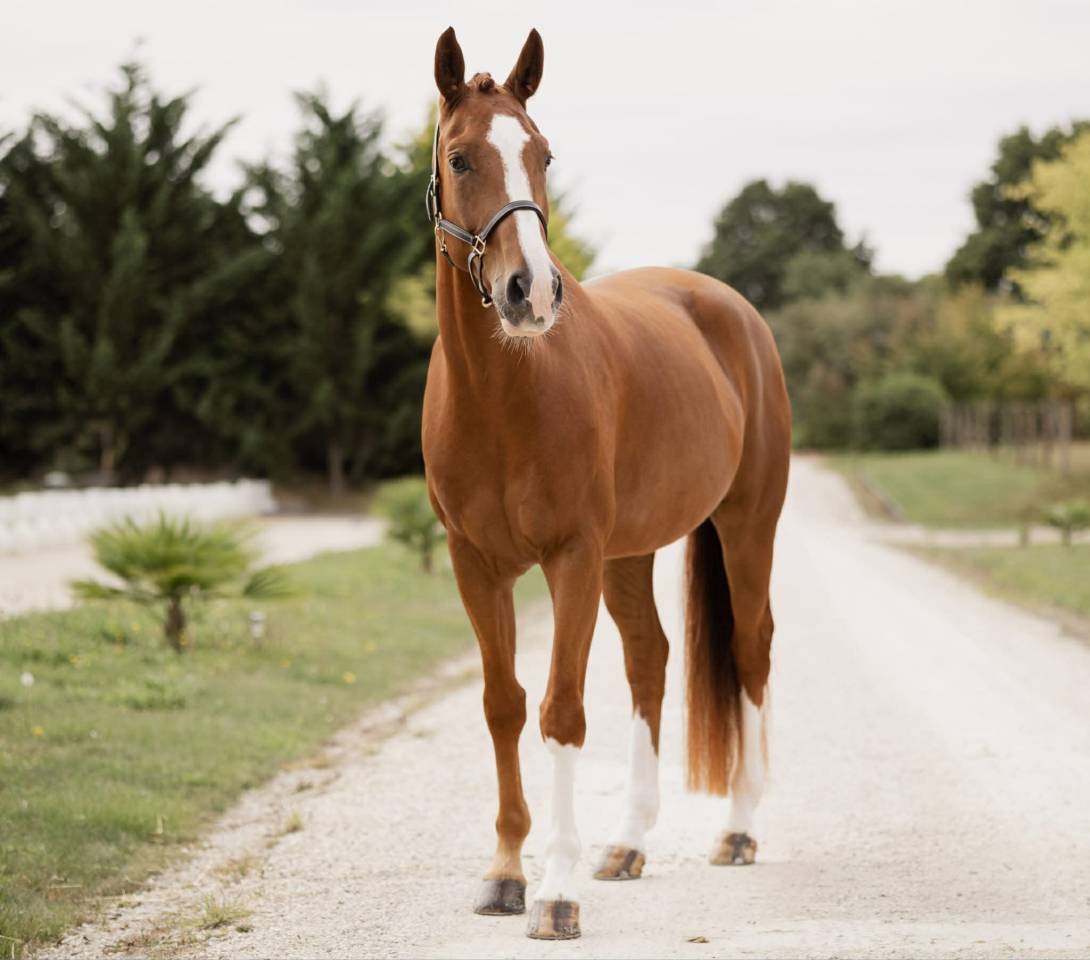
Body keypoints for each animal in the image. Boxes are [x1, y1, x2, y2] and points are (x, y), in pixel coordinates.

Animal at [421, 26, 791, 941]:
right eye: (461, 157)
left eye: (543, 153)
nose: (531, 291)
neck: (504, 393)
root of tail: (727, 306)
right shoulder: (474, 564)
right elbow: (504, 704)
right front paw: (504, 874)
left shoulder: (572, 558)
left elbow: (561, 711)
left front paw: (554, 892)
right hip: (630, 554)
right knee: (651, 659)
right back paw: (626, 844)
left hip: (746, 526)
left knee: (751, 650)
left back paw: (738, 830)